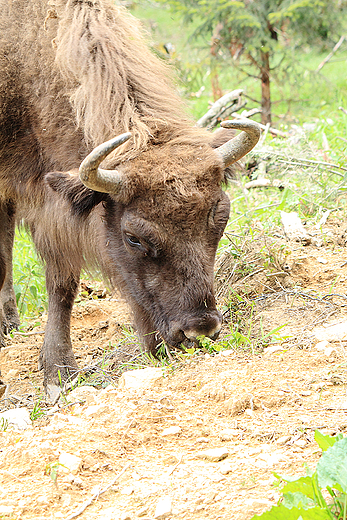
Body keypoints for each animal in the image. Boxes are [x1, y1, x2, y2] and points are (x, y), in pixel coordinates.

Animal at [0, 0, 260, 400]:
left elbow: (59, 280)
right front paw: (59, 373)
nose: (198, 331)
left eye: (221, 218)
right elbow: (55, 281)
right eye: (133, 237)